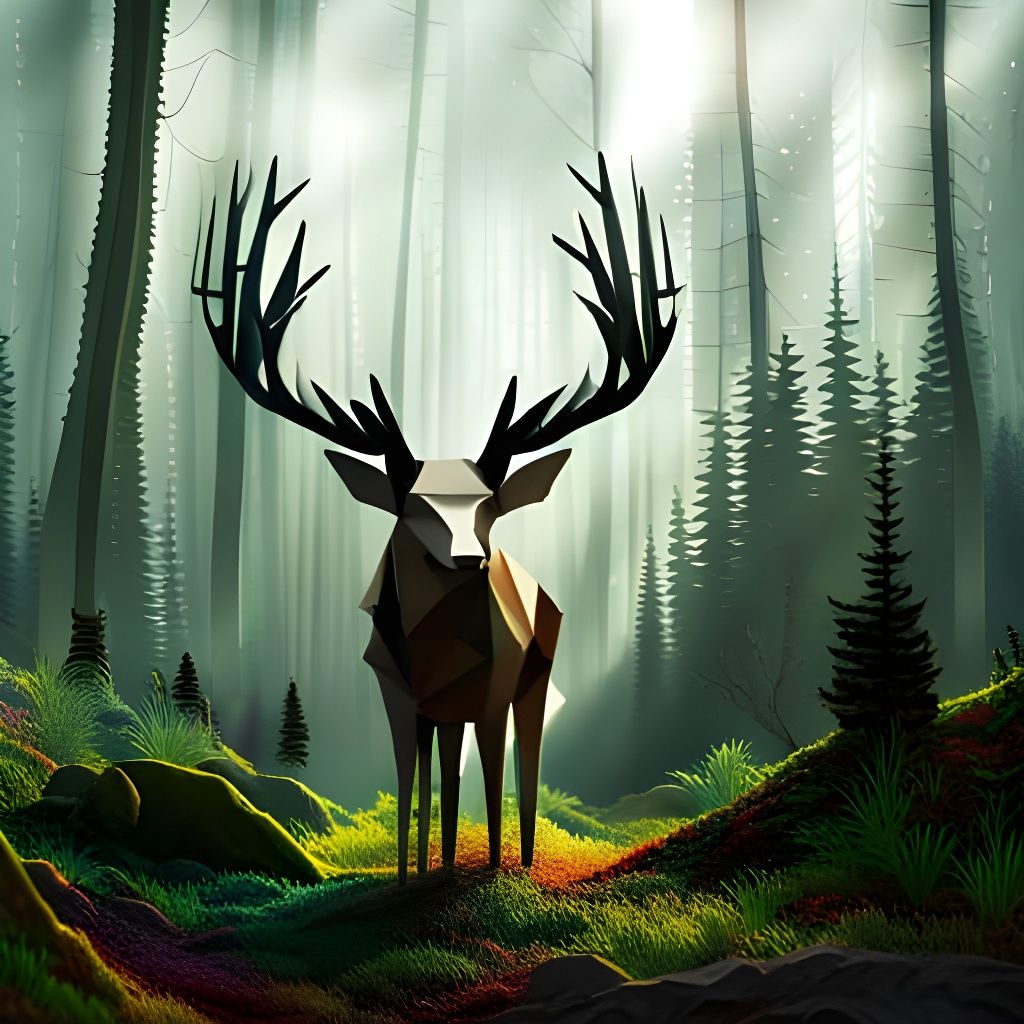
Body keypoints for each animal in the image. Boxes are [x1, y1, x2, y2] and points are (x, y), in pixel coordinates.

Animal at [193, 153, 681, 883]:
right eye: (410, 508)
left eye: (492, 508)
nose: (471, 557)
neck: (440, 659)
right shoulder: (396, 695)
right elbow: (409, 783)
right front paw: (411, 871)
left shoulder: (488, 692)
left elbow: (478, 780)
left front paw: (480, 870)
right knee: (440, 768)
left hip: (539, 671)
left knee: (522, 760)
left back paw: (520, 857)